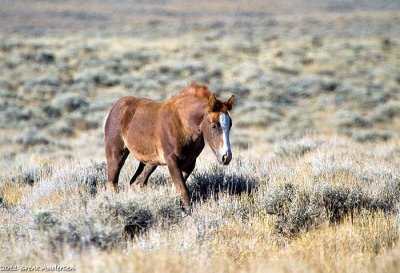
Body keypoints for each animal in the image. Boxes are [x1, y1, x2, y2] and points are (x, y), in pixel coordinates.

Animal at [103, 82, 234, 214]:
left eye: (230, 124)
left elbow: (176, 188)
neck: (183, 124)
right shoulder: (172, 161)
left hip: (149, 162)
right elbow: (183, 189)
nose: (226, 157)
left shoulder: (190, 163)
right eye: (213, 125)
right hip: (116, 155)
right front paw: (187, 213)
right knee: (113, 182)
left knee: (137, 182)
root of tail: (114, 108)